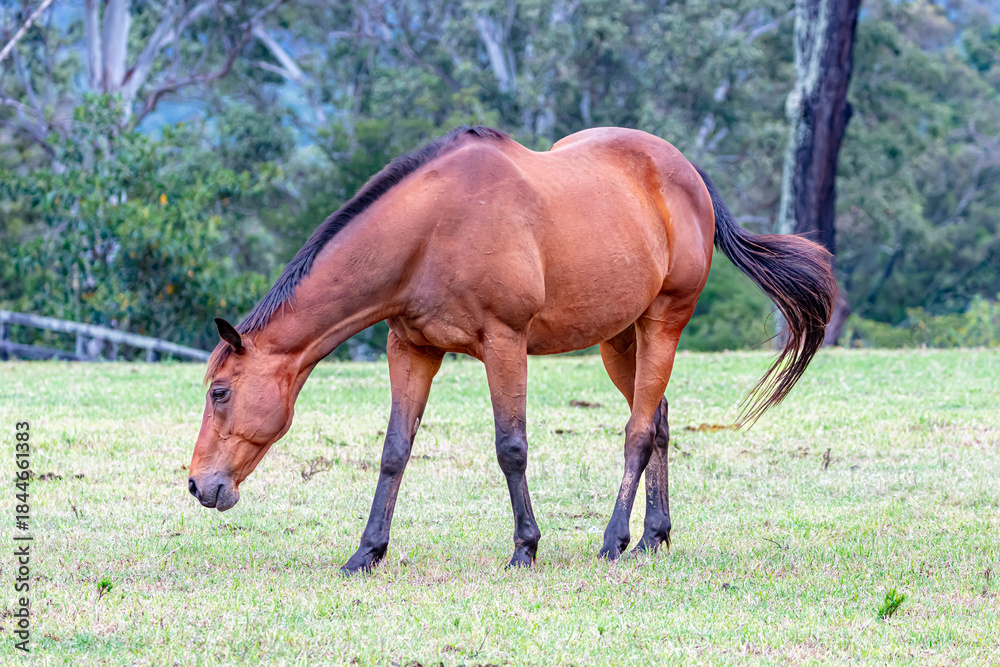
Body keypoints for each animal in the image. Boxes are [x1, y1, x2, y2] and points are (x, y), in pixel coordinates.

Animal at [188, 125, 836, 573]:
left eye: (220, 392)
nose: (198, 485)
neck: (430, 233)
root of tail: (686, 172)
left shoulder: (504, 342)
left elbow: (511, 448)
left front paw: (526, 547)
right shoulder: (410, 349)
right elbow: (395, 451)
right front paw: (367, 552)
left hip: (662, 323)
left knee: (637, 432)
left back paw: (615, 540)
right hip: (618, 338)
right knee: (658, 421)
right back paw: (655, 535)